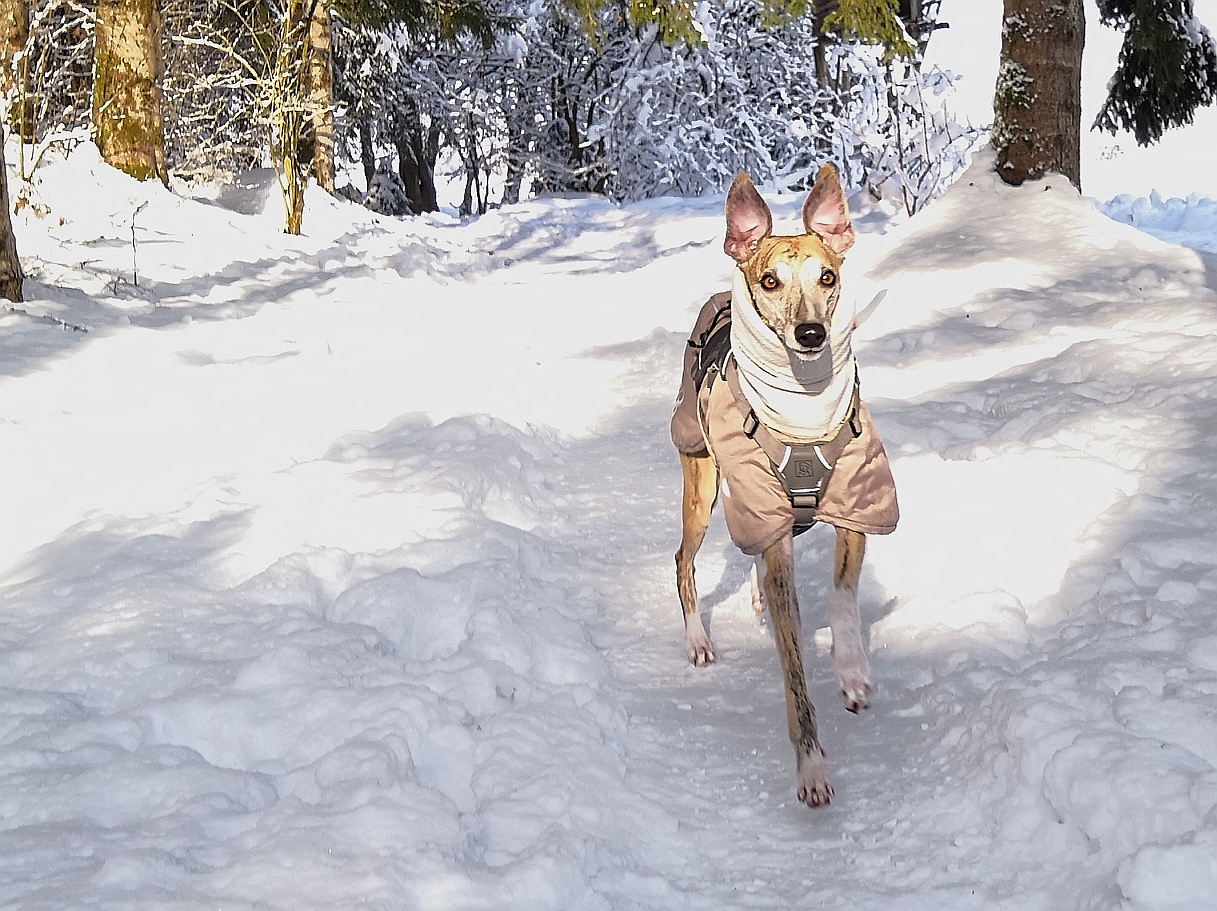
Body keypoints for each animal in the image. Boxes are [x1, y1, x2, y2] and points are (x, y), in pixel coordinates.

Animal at [671, 162, 900, 802]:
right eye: (770, 280)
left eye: (828, 276)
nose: (811, 334)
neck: (804, 415)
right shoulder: (763, 517)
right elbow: (794, 664)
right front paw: (811, 766)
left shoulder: (857, 499)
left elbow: (843, 596)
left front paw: (852, 671)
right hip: (702, 483)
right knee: (683, 558)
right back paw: (698, 638)